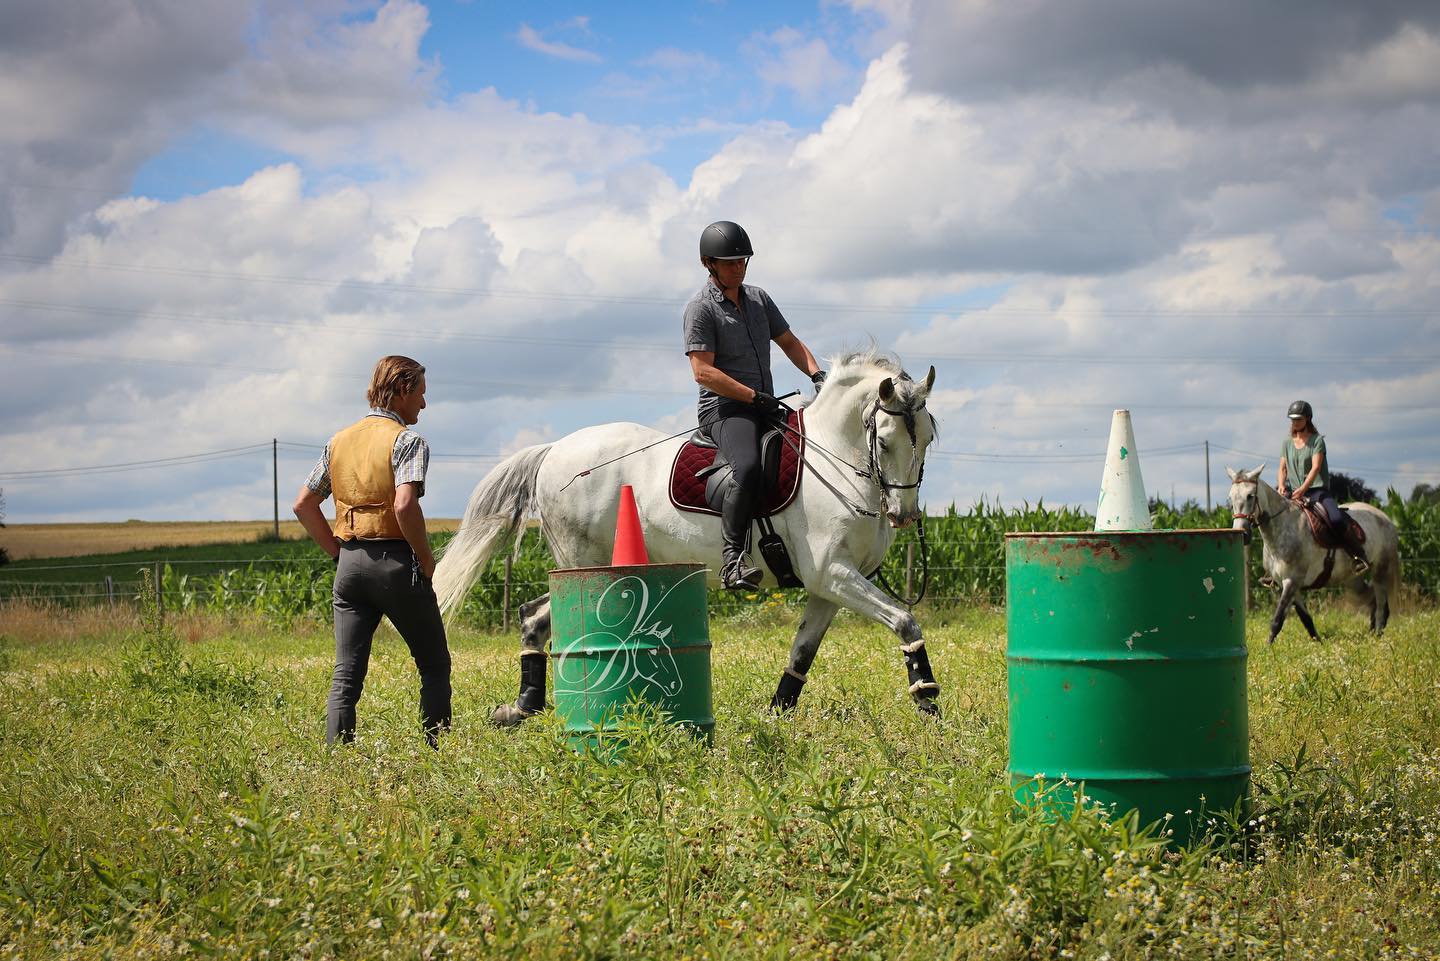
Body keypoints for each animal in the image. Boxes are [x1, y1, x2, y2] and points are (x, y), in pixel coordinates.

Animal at [432, 350, 938, 726]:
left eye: (929, 438)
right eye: (885, 441)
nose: (904, 515)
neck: (835, 459)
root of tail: (555, 449)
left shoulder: (830, 586)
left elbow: (802, 653)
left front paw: (776, 716)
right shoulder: (833, 574)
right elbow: (905, 622)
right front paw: (927, 698)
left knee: (533, 615)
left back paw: (521, 708)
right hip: (584, 563)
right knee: (541, 616)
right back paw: (528, 707)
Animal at [1221, 466, 1399, 645]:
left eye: (1250, 496)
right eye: (1230, 497)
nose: (1243, 533)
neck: (1282, 527)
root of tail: (1385, 518)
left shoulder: (1291, 581)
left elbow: (1277, 619)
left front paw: (1268, 647)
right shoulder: (1289, 585)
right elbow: (1305, 618)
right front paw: (1318, 642)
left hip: (1380, 572)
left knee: (1382, 606)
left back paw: (1378, 637)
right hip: (1353, 580)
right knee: (1371, 599)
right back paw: (1372, 633)